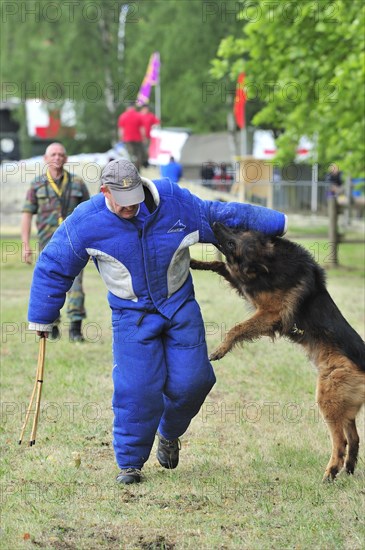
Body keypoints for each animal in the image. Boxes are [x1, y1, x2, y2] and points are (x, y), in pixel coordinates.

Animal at [189, 222, 362, 480]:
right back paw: (348, 470)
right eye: (236, 228)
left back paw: (331, 471)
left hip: (328, 399)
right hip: (345, 406)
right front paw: (195, 262)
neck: (270, 261)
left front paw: (220, 349)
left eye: (232, 242)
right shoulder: (248, 288)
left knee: (340, 440)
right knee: (355, 438)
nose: (215, 223)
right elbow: (221, 266)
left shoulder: (269, 314)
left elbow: (237, 328)